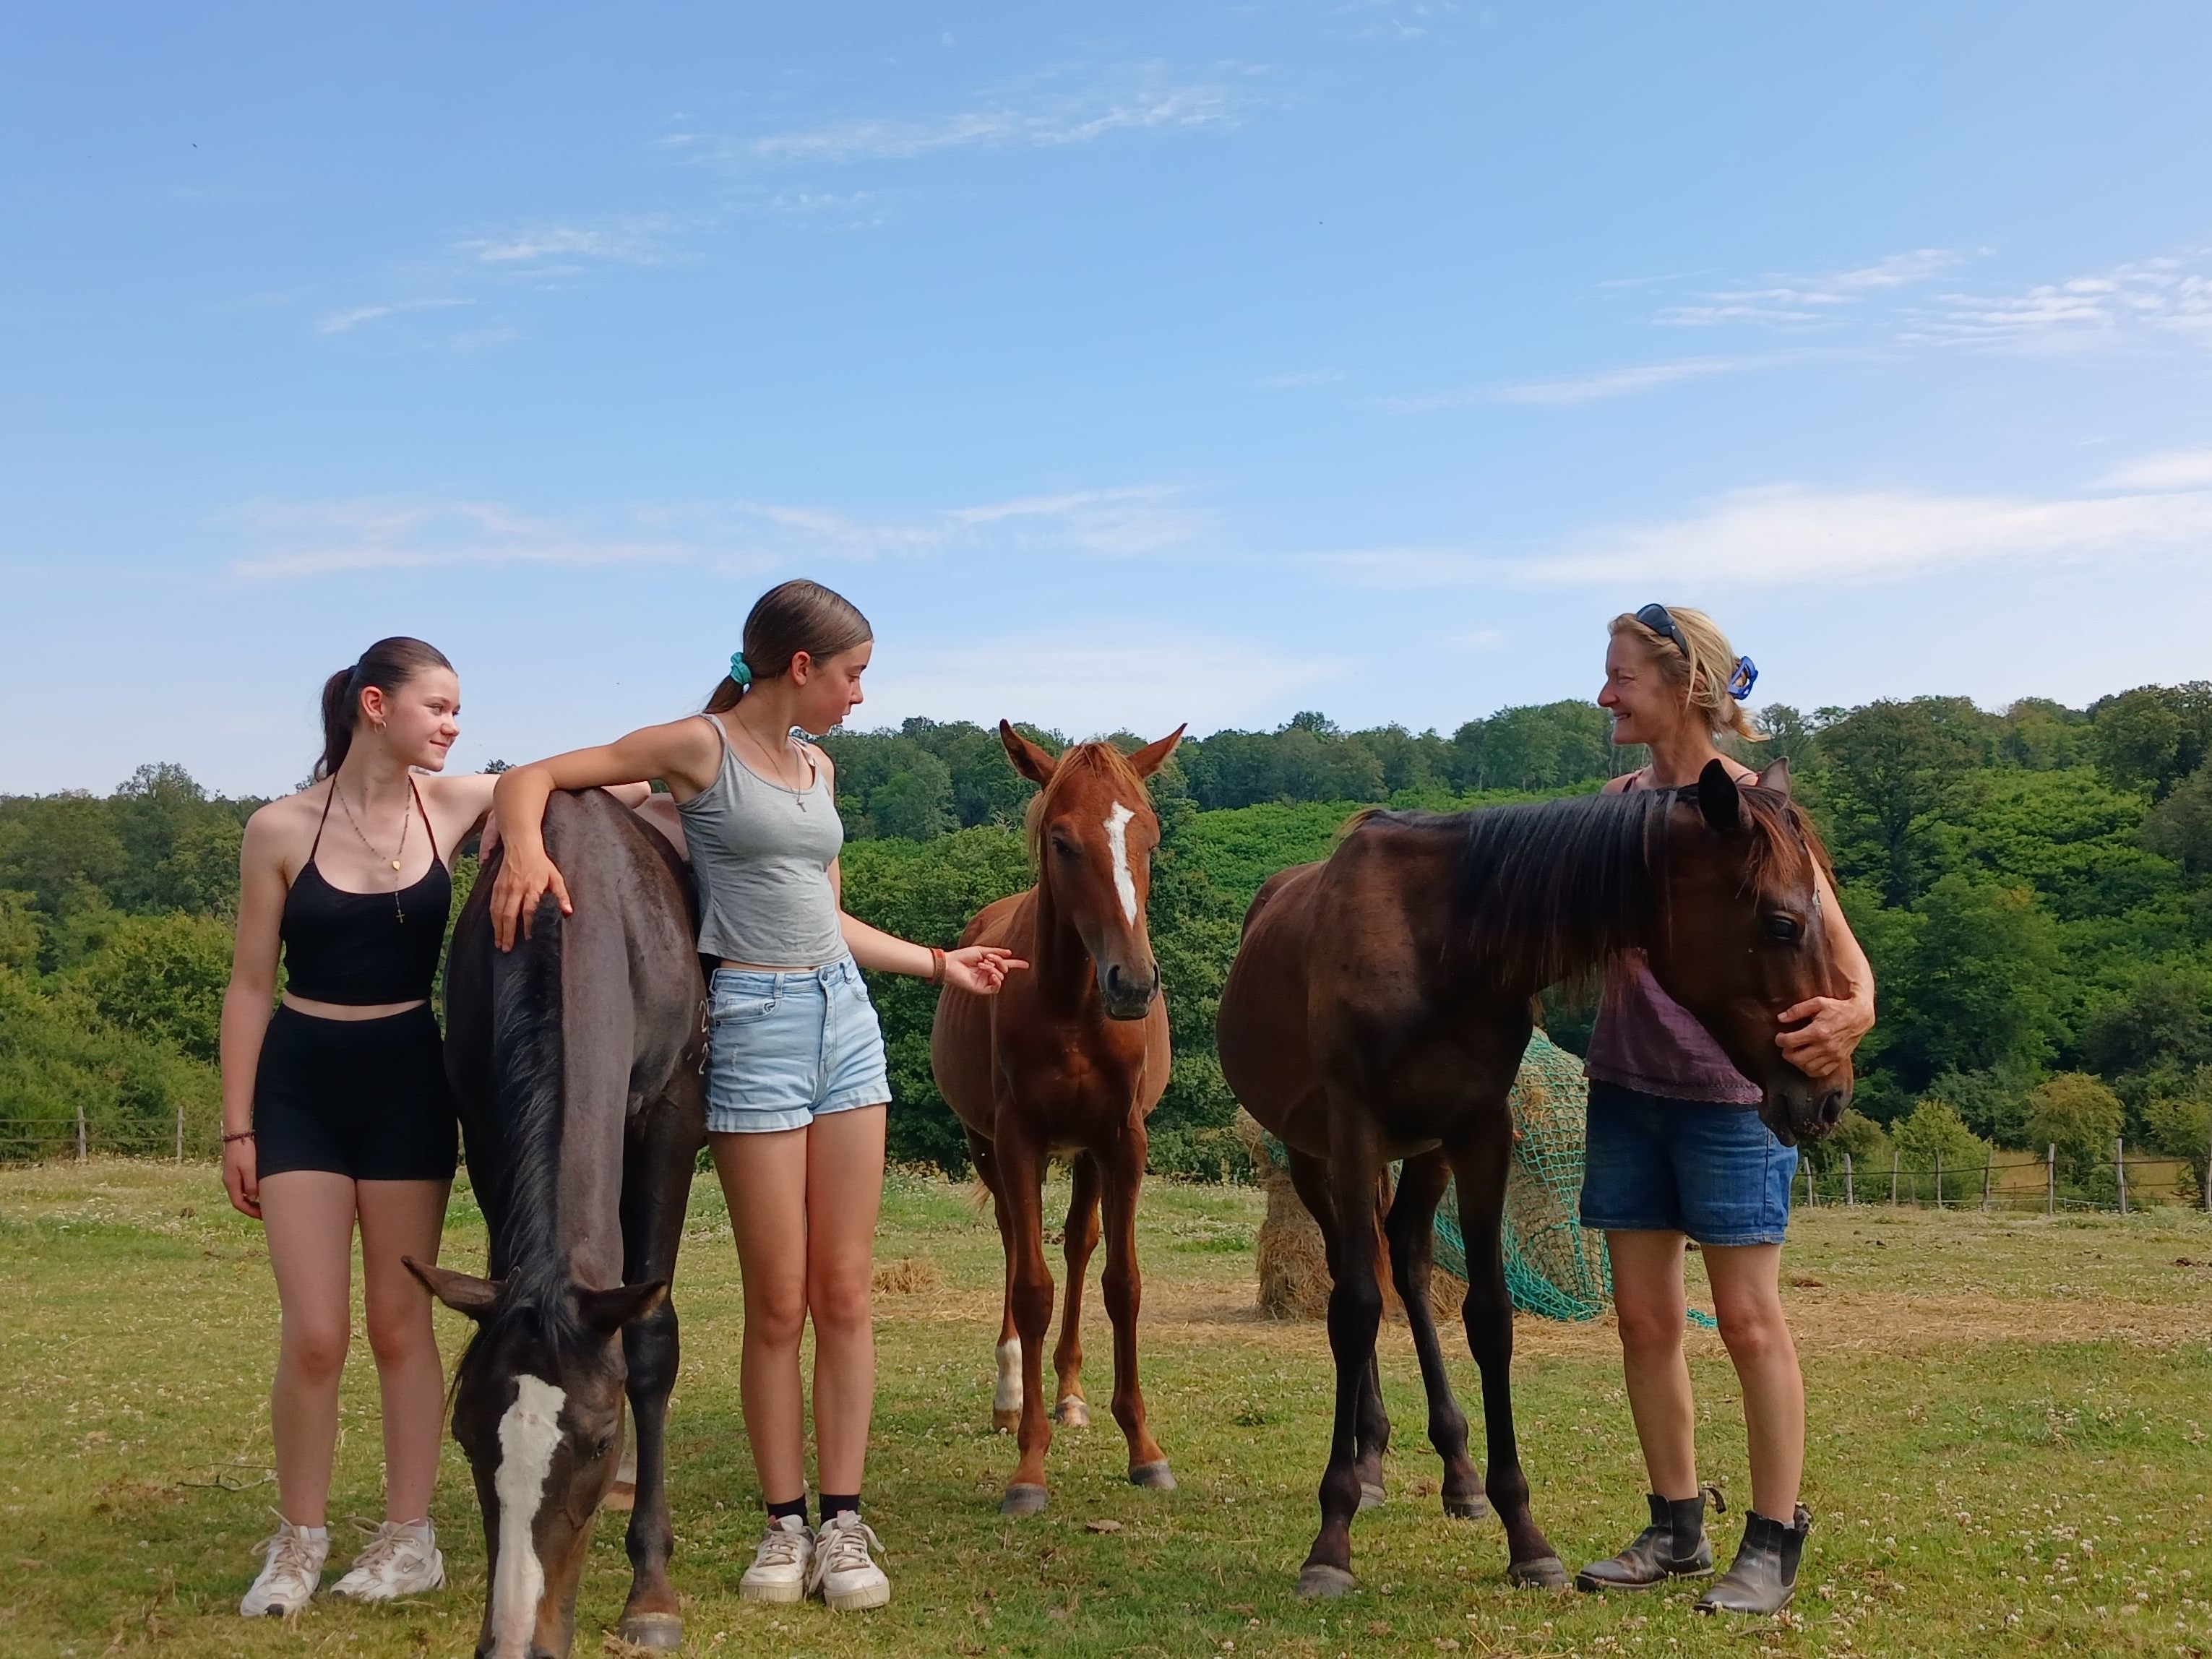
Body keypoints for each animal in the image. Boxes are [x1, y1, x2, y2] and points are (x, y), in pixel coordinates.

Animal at [407, 796, 699, 1659]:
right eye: (466, 1433)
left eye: (597, 1441)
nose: (514, 1641)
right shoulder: (482, 1121)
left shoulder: (672, 1114)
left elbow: (650, 1340)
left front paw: (651, 1590)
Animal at [924, 725, 1185, 1522]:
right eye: (1062, 841)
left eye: (1149, 837)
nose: (1132, 983)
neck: (1071, 1004)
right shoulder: (1017, 1140)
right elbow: (1032, 1287)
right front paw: (1028, 1463)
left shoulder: (1123, 1141)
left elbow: (1121, 1281)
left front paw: (1144, 1448)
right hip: (990, 1146)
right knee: (1017, 1244)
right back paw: (1012, 1394)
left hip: (1088, 1154)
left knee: (1076, 1243)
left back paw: (1070, 1395)